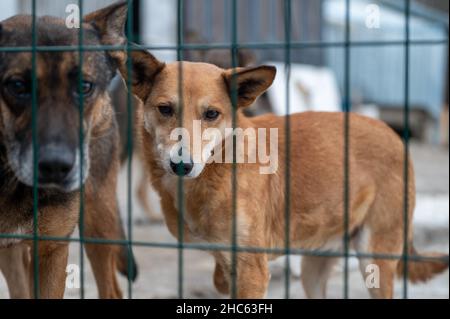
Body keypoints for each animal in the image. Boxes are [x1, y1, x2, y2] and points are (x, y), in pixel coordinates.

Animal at [0, 1, 137, 298]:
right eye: (17, 85)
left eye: (84, 86)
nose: (56, 167)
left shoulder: (52, 250)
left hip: (98, 217)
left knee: (111, 289)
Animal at [120, 48, 450, 300]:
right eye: (165, 109)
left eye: (211, 114)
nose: (181, 165)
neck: (219, 167)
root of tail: (394, 136)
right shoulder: (232, 261)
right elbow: (219, 279)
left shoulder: (253, 269)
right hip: (314, 269)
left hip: (375, 262)